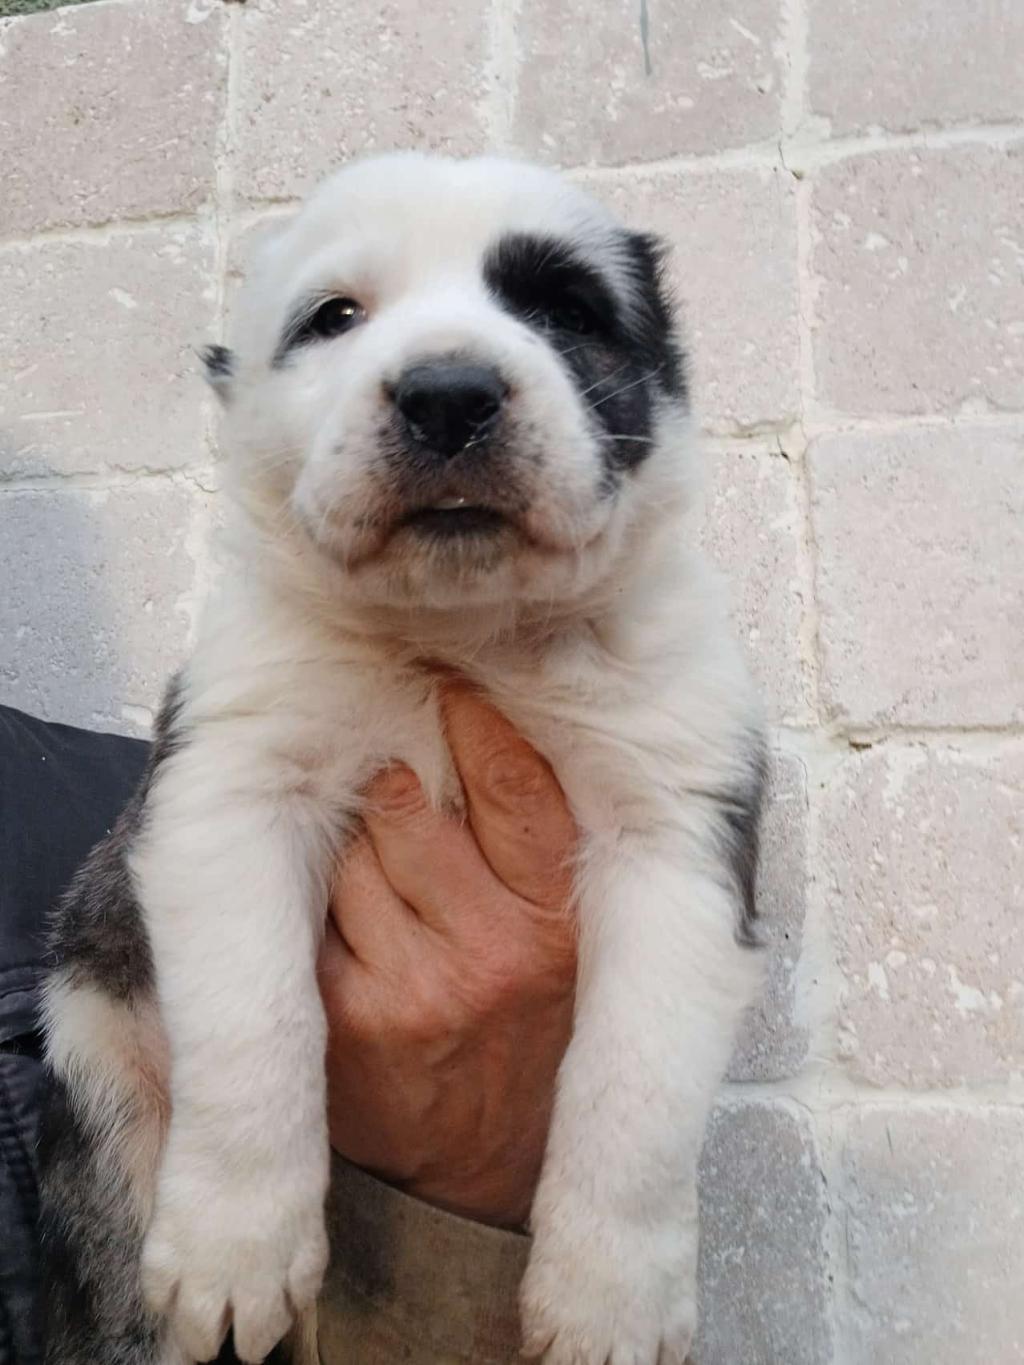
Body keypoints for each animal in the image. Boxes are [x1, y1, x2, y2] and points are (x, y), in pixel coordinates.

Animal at [38, 152, 766, 1365]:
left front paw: (609, 1297)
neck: (457, 633)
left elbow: (637, 1080)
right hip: (92, 1046)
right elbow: (255, 1018)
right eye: (335, 318)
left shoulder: (676, 833)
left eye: (564, 312)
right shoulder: (230, 789)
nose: (449, 395)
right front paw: (239, 1246)